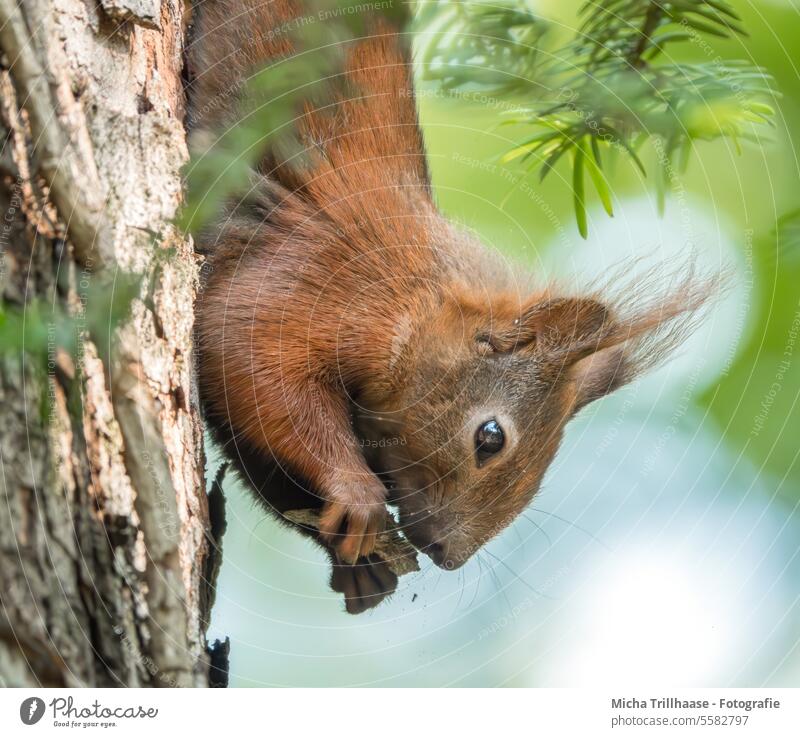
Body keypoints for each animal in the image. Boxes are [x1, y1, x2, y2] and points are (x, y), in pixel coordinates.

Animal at [189, 2, 712, 612]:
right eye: (490, 437)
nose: (447, 555)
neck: (419, 305)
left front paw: (362, 569)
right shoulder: (311, 283)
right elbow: (254, 368)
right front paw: (358, 494)